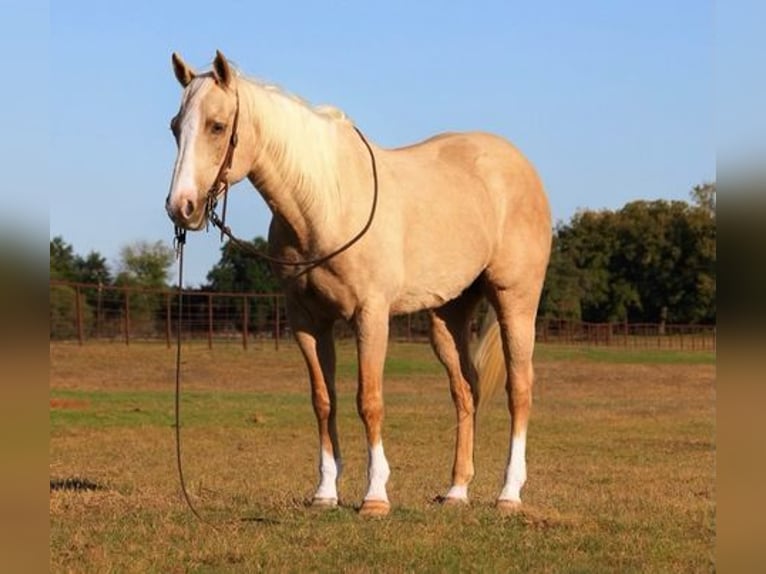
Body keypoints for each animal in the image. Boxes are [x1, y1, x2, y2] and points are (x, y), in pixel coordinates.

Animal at [166, 50, 552, 516]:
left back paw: (509, 493)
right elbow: (323, 400)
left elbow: (369, 400)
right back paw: (457, 491)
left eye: (217, 126)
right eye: (175, 126)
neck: (326, 204)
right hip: (448, 314)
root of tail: (520, 166)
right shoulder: (308, 321)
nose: (181, 207)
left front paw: (375, 495)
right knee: (465, 391)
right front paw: (325, 492)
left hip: (515, 301)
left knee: (520, 389)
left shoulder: (371, 316)